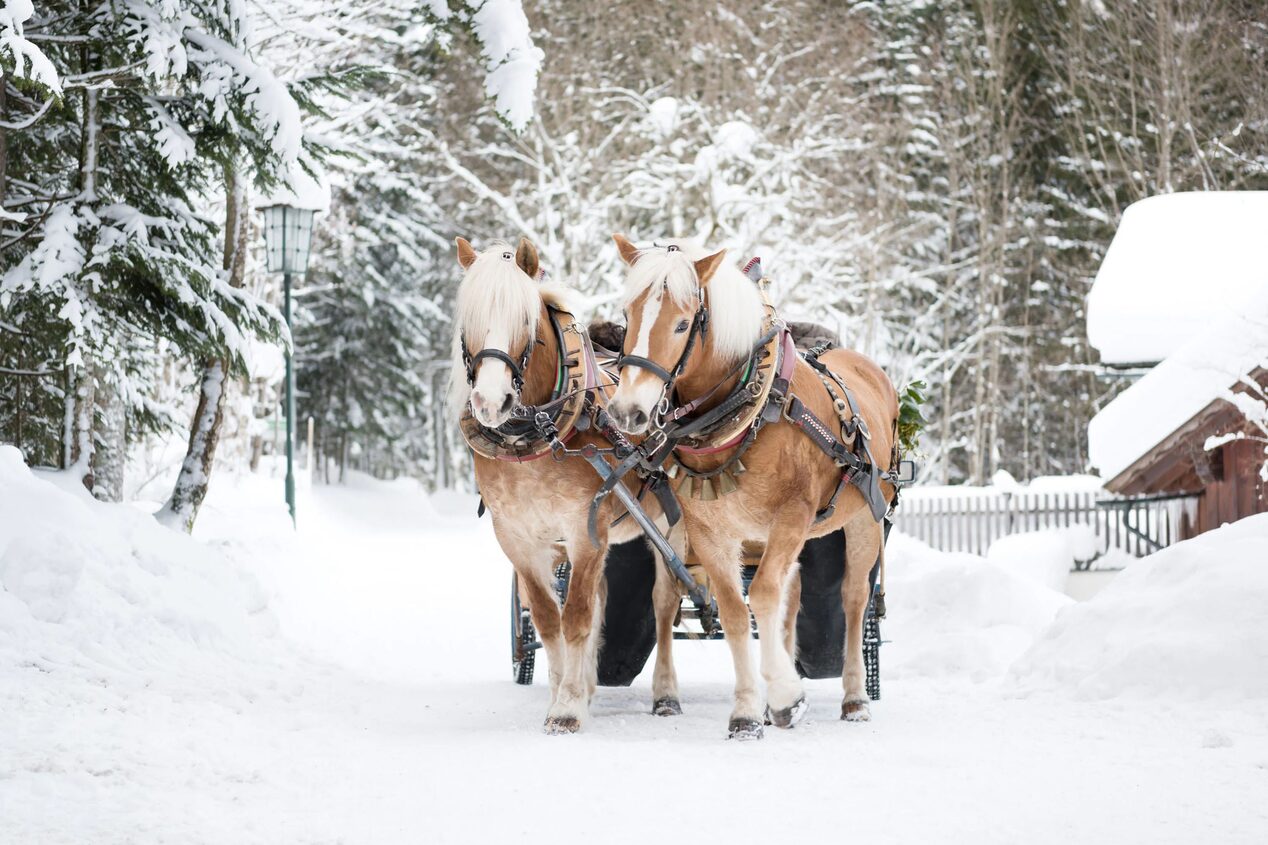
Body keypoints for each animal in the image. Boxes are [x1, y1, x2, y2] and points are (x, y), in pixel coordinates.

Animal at [606, 233, 897, 735]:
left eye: (682, 324)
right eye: (627, 316)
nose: (629, 412)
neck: (750, 410)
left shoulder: (793, 516)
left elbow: (761, 595)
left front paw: (785, 694)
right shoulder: (711, 532)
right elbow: (736, 612)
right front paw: (747, 711)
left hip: (865, 518)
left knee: (854, 599)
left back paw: (855, 698)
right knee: (787, 599)